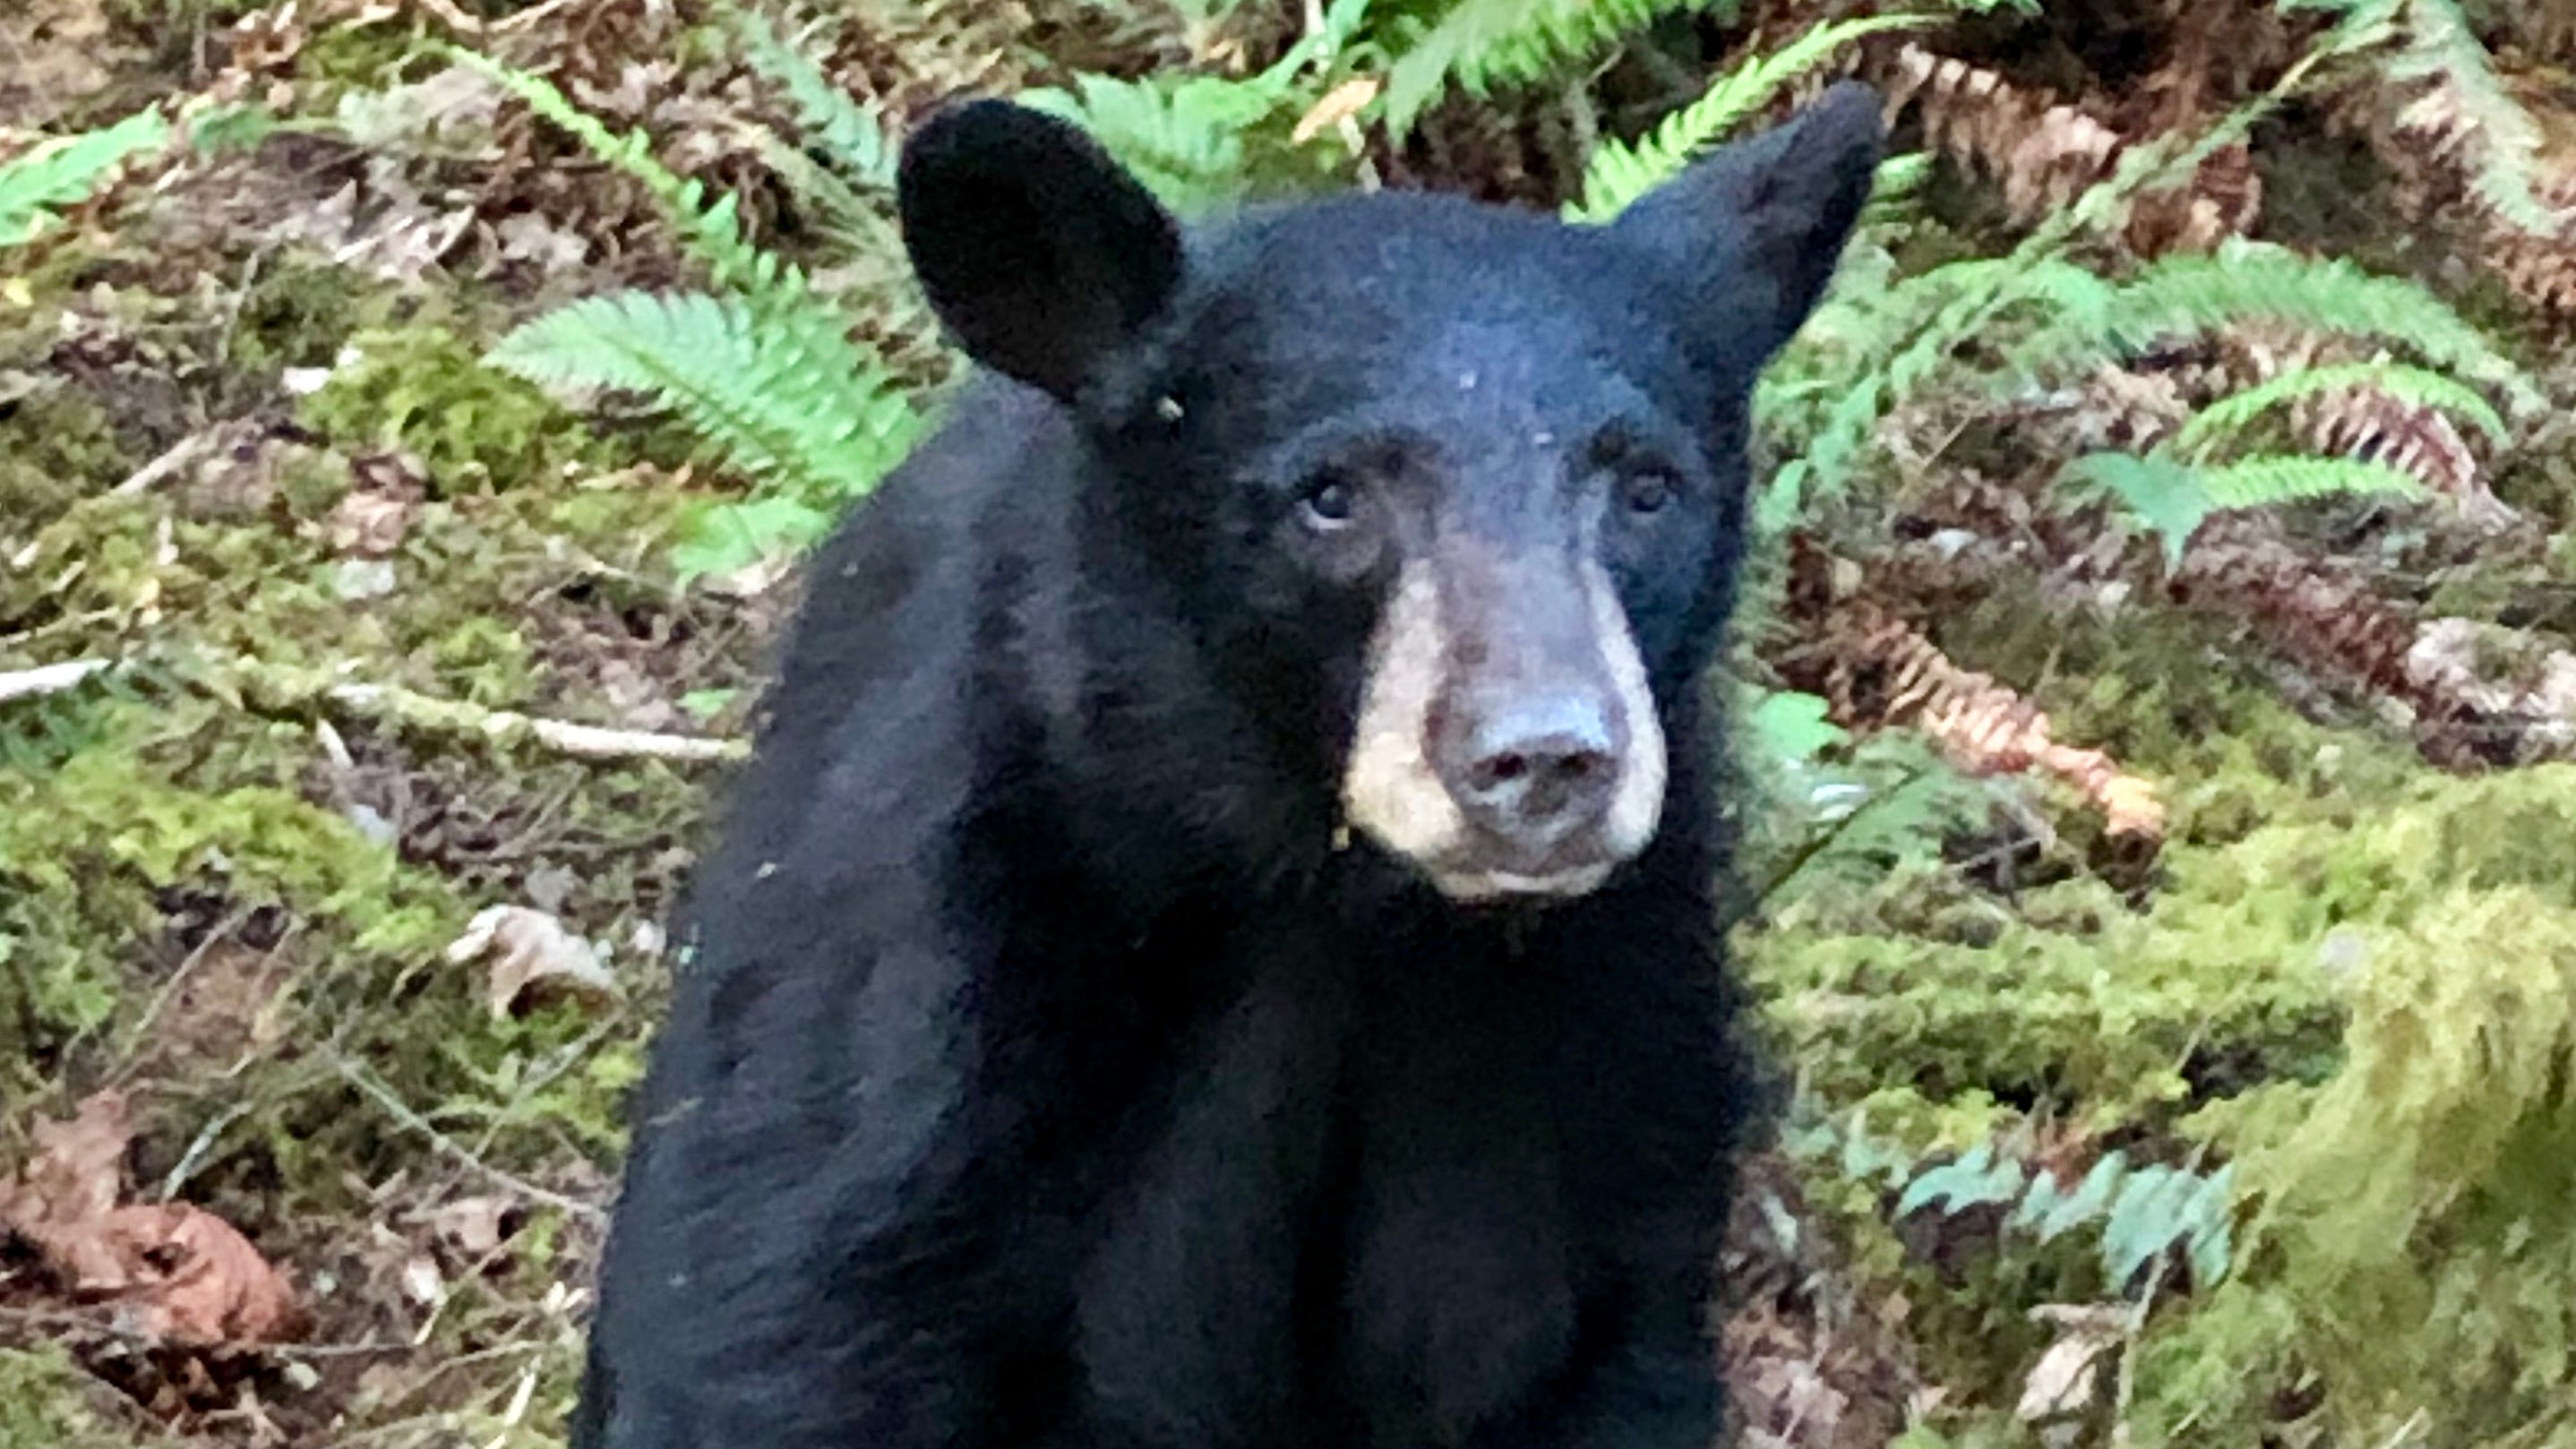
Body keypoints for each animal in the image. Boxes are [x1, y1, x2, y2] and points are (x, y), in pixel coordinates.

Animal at [574, 79, 1884, 1449]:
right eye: (1330, 494)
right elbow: (788, 1315)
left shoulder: (1608, 1041)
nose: (1544, 759)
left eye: (1645, 486)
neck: (1334, 903)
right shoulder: (930, 995)